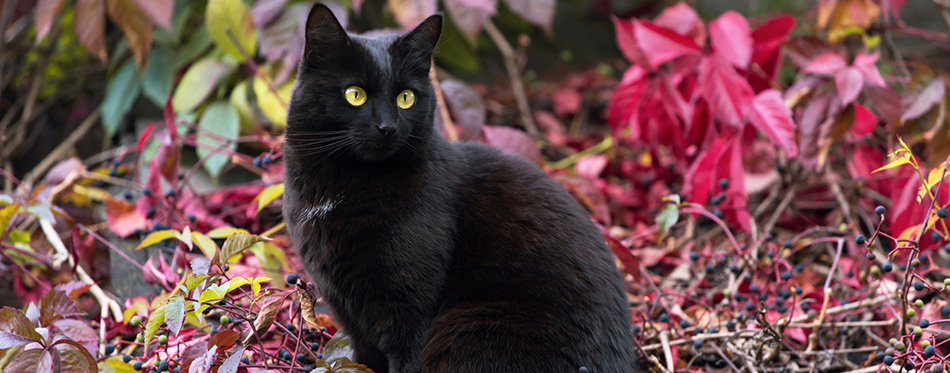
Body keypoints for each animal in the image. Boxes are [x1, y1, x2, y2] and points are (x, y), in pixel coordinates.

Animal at [282, 4, 640, 370]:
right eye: (355, 94)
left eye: (406, 97)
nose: (387, 127)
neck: (343, 186)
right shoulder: (348, 310)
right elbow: (365, 358)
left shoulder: (409, 312)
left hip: (468, 328)